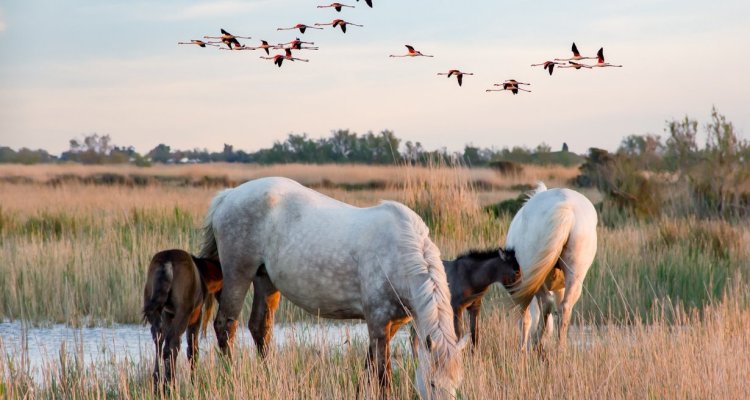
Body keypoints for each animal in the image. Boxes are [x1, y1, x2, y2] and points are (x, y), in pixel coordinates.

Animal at [142, 250, 222, 390]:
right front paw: (194, 382)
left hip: (154, 308)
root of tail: (167, 263)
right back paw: (169, 385)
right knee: (172, 344)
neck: (203, 274)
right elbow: (192, 349)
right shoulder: (196, 315)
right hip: (184, 312)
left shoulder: (168, 314)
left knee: (160, 341)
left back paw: (158, 383)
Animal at [506, 183, 600, 352]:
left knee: (546, 304)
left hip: (533, 276)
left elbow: (526, 319)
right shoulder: (559, 287)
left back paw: (536, 343)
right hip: (575, 275)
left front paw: (522, 349)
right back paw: (560, 349)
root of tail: (567, 208)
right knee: (564, 307)